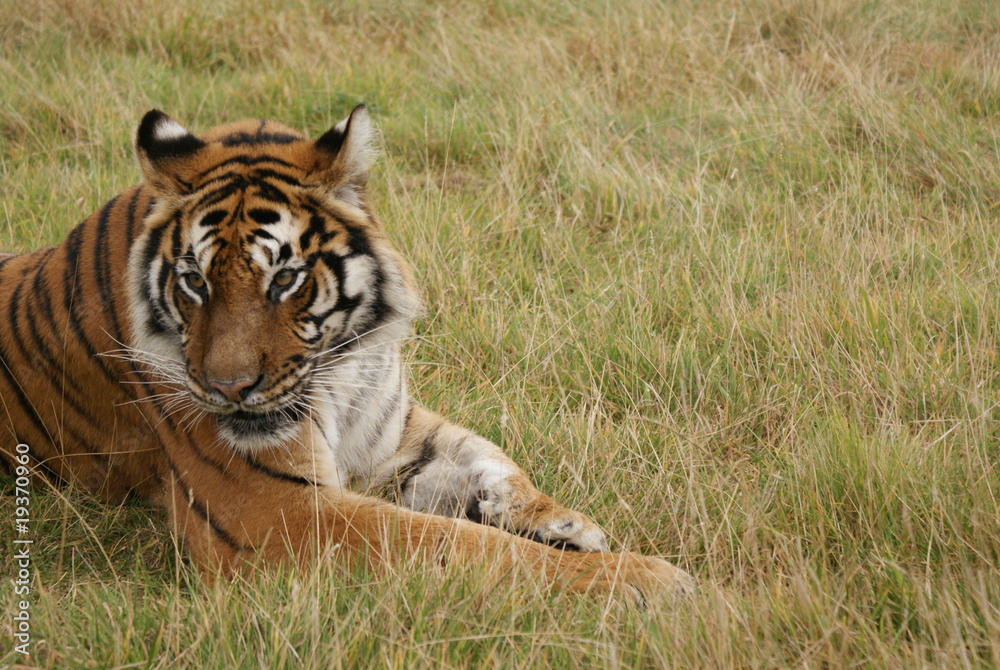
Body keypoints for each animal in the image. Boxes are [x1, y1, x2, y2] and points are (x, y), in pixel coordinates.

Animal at [0, 105, 695, 604]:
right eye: (194, 281)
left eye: (284, 279)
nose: (228, 389)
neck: (341, 364)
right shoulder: (268, 508)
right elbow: (458, 544)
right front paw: (646, 580)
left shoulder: (392, 431)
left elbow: (489, 457)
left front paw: (566, 525)